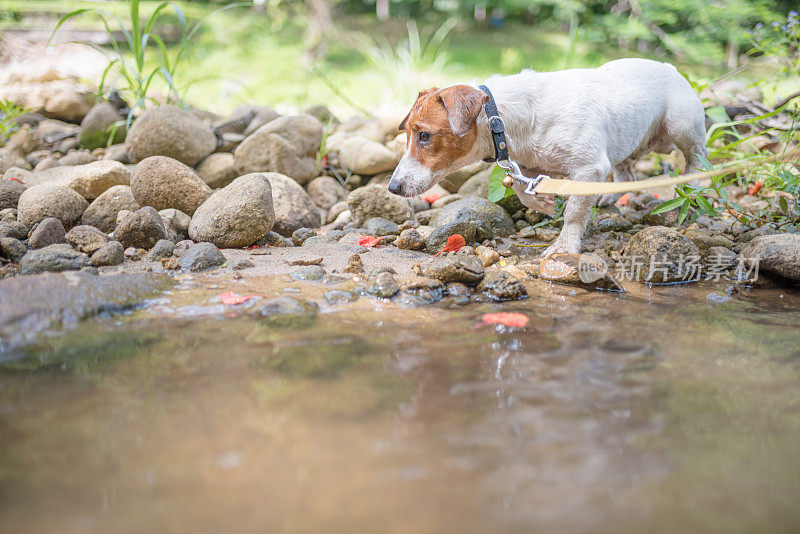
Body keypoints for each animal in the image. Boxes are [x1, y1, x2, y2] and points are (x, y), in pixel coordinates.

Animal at [388, 58, 708, 258]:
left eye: (424, 136)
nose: (393, 188)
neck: (502, 119)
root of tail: (672, 68)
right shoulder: (528, 164)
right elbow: (522, 190)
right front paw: (544, 202)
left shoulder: (588, 168)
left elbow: (575, 212)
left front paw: (565, 245)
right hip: (625, 139)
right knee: (626, 173)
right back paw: (607, 195)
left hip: (683, 127)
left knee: (697, 159)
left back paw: (692, 189)